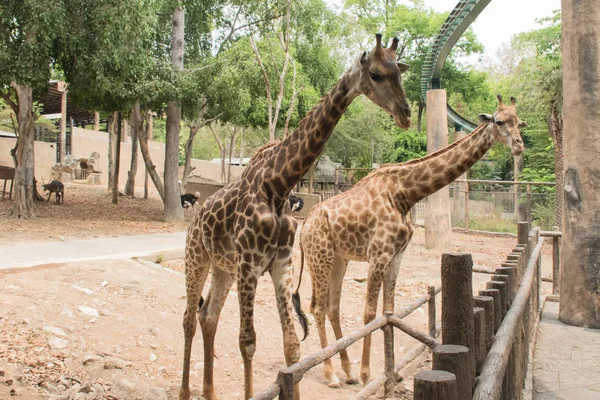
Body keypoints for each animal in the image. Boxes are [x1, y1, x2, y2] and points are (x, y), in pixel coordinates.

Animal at [179, 34, 412, 400]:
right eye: (375, 74)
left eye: (399, 73)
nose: (405, 114)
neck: (278, 184)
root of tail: (194, 219)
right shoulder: (250, 263)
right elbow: (248, 342)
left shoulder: (281, 263)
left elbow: (291, 347)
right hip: (197, 258)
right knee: (189, 318)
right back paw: (186, 392)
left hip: (223, 268)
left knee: (208, 316)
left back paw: (210, 392)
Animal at [294, 94, 524, 388]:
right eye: (499, 121)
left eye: (519, 122)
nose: (519, 145)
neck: (405, 193)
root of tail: (306, 224)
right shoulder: (379, 254)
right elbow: (370, 313)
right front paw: (367, 375)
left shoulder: (397, 255)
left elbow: (389, 311)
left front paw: (390, 374)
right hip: (319, 256)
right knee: (318, 307)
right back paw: (332, 375)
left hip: (339, 258)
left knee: (332, 307)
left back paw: (346, 371)